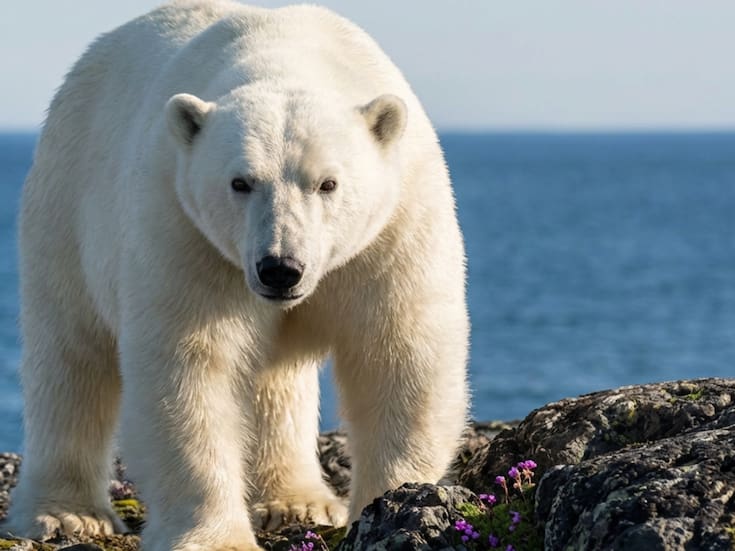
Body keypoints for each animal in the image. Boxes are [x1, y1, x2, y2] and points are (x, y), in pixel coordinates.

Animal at [5, 1, 469, 550]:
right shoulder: (185, 231)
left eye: (328, 183)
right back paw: (65, 513)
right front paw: (215, 537)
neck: (286, 54)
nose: (280, 269)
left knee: (276, 382)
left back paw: (293, 500)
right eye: (240, 182)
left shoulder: (393, 230)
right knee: (71, 356)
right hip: (68, 203)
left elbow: (400, 355)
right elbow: (190, 370)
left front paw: (395, 501)